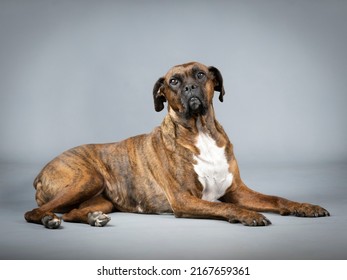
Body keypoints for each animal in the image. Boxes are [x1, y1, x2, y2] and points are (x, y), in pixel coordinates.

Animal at [25, 62, 332, 229]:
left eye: (200, 75)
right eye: (173, 81)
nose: (189, 89)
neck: (200, 131)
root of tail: (38, 174)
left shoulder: (238, 191)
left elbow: (277, 199)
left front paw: (305, 207)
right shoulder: (184, 200)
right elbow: (225, 208)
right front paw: (248, 215)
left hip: (101, 199)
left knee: (73, 213)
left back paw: (93, 219)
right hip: (88, 178)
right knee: (34, 212)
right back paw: (50, 220)